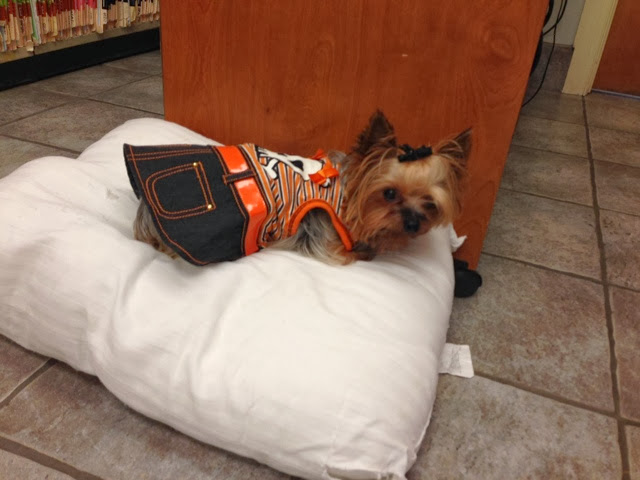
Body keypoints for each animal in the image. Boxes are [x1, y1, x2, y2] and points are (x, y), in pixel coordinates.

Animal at [129, 110, 470, 265]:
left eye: (429, 202)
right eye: (389, 193)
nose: (413, 224)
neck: (346, 193)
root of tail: (144, 207)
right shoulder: (327, 241)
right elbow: (352, 252)